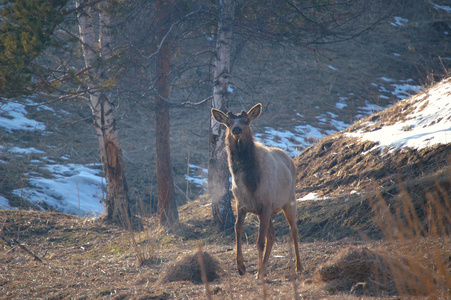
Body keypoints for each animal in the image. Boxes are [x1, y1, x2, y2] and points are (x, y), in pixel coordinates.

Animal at [212, 103, 304, 278]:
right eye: (228, 122)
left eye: (246, 121)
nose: (236, 129)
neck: (250, 185)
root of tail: (289, 158)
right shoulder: (242, 205)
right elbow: (237, 229)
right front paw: (241, 267)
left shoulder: (265, 205)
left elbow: (259, 241)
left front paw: (256, 271)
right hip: (269, 210)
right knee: (273, 234)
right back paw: (265, 268)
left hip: (289, 201)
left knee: (294, 229)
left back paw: (298, 267)